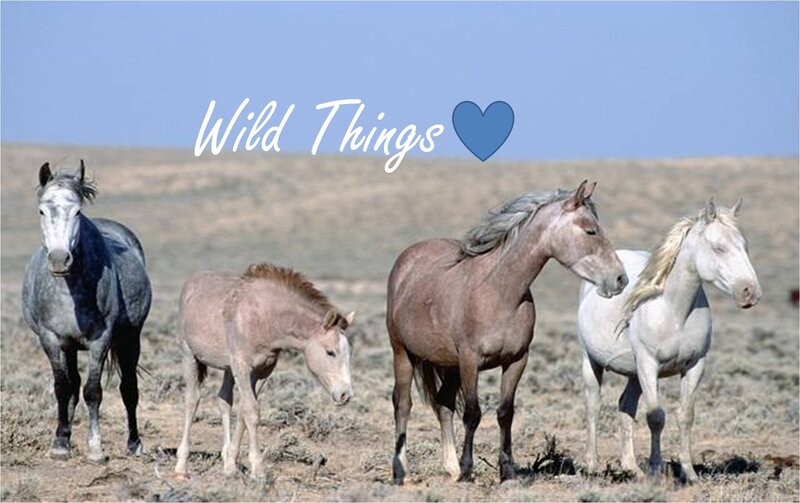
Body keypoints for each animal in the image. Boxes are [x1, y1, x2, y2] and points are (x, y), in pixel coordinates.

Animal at [22, 161, 152, 461]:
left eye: (78, 211)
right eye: (42, 210)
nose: (59, 259)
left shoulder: (100, 340)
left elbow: (93, 391)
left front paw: (95, 448)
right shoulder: (50, 339)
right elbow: (63, 388)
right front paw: (60, 443)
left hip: (131, 340)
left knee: (129, 389)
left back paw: (134, 443)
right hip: (70, 347)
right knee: (72, 386)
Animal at [174, 262, 356, 478]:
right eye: (330, 352)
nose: (345, 394)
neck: (264, 318)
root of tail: (191, 283)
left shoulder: (260, 373)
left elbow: (244, 412)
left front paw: (231, 464)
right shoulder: (242, 368)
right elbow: (252, 412)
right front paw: (258, 468)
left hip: (228, 369)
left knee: (224, 400)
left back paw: (224, 456)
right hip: (190, 357)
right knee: (192, 400)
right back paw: (181, 466)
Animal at [386, 180, 628, 484]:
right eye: (590, 230)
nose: (620, 279)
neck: (500, 291)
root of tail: (407, 258)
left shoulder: (516, 361)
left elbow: (505, 413)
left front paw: (507, 471)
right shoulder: (470, 361)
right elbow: (473, 414)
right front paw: (468, 470)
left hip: (448, 363)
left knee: (443, 403)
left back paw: (450, 467)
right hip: (403, 353)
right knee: (402, 404)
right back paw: (400, 471)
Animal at [577, 198, 761, 482]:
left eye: (745, 246)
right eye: (718, 248)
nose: (750, 292)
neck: (674, 311)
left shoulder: (695, 365)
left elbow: (685, 416)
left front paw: (689, 473)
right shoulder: (648, 364)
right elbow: (656, 417)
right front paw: (655, 469)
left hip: (634, 373)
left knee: (625, 406)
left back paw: (631, 467)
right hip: (592, 361)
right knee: (593, 406)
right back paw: (593, 465)